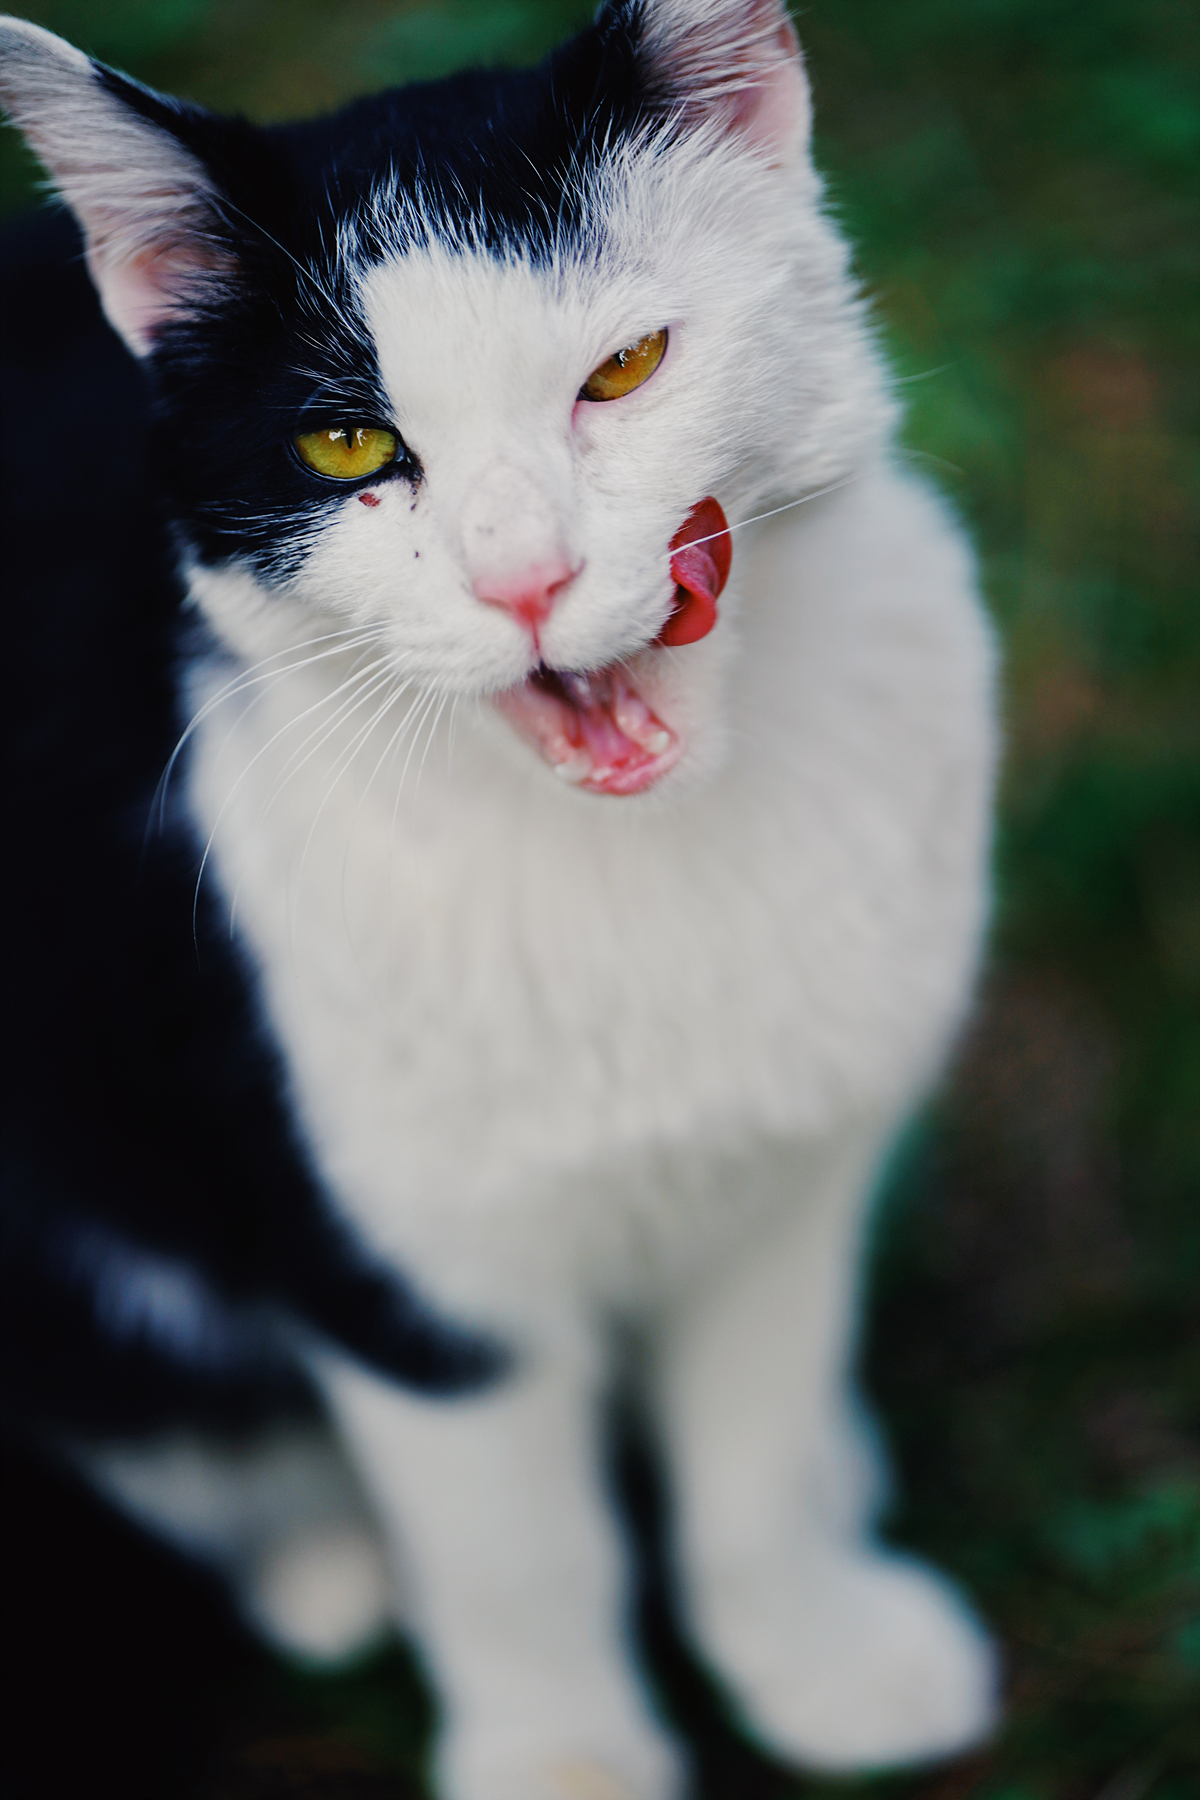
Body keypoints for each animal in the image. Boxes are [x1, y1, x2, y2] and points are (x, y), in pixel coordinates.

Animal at [0, 7, 1007, 1792]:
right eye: (346, 443)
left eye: (624, 369)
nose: (522, 578)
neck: (632, 866)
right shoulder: (402, 1266)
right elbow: (520, 1554)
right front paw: (566, 1755)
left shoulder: (791, 1176)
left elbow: (749, 1445)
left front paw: (816, 1654)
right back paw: (321, 1558)